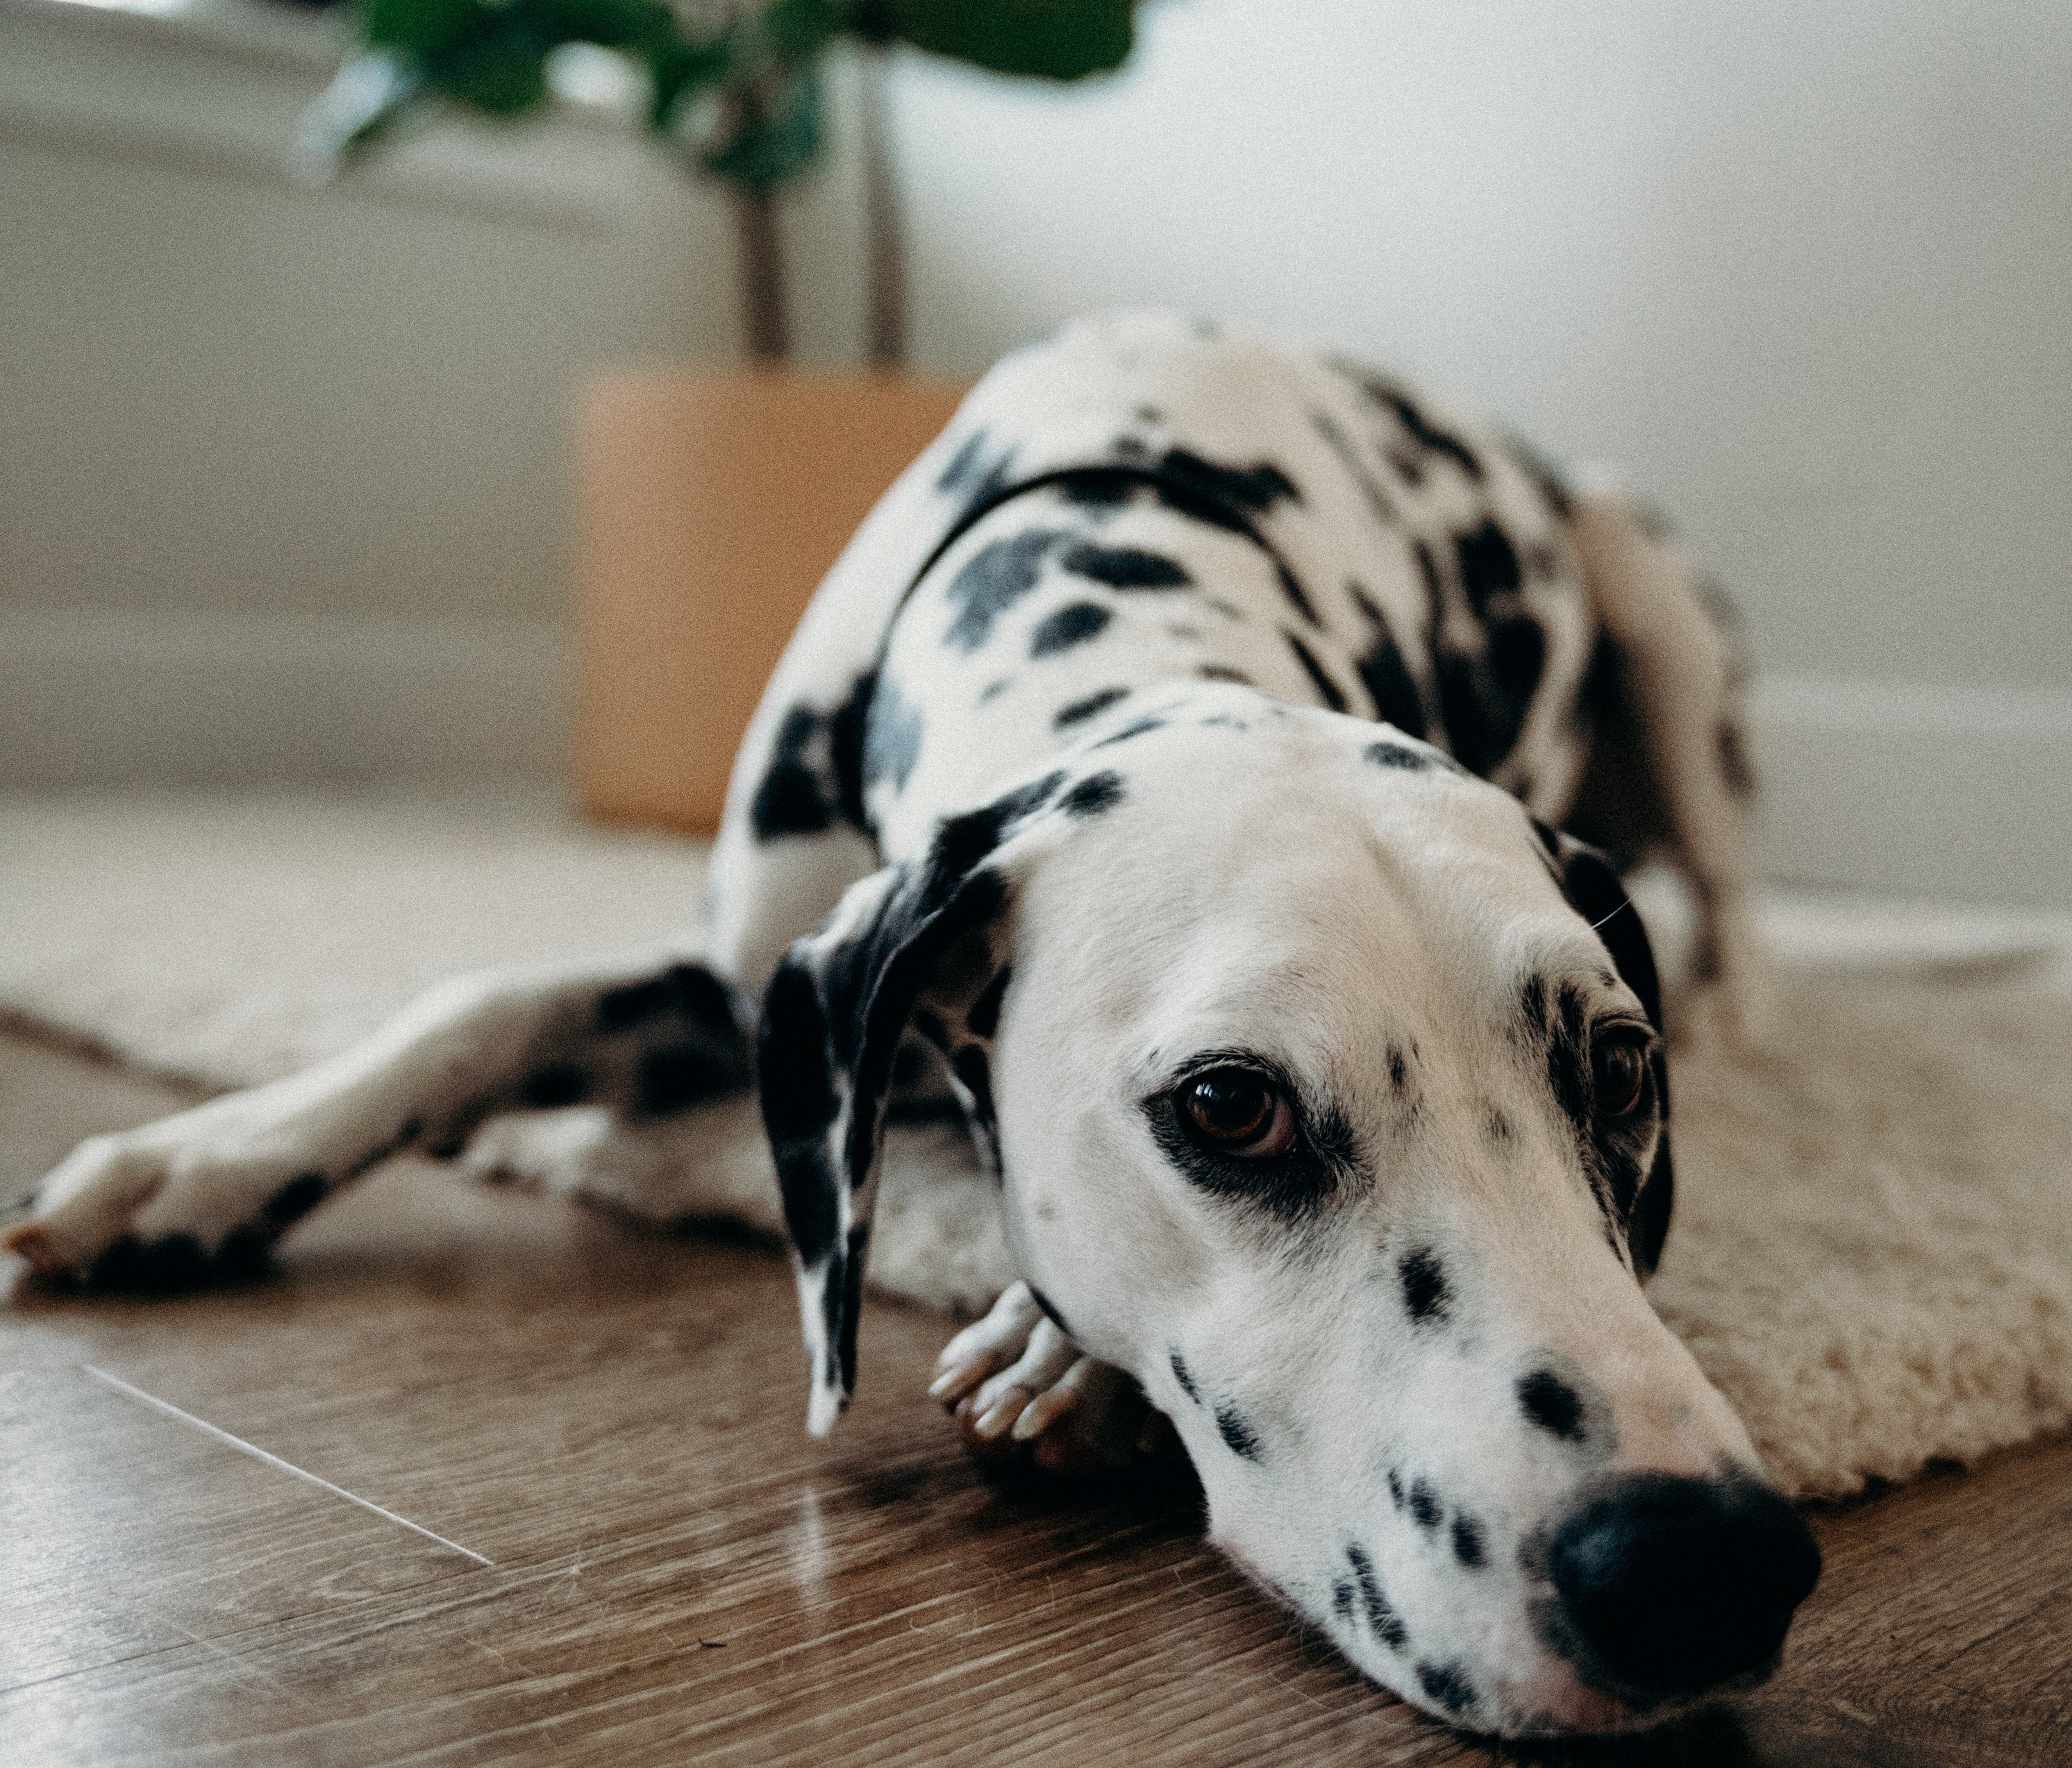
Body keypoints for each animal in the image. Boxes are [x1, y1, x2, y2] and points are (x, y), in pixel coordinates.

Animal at [0, 311, 1815, 1732]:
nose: (1704, 1564)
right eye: (1230, 1106)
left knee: (1742, 904)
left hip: (1650, 595)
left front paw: (1050, 1347)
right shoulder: (750, 983)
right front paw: (196, 1160)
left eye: (1616, 1068)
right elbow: (470, 1006)